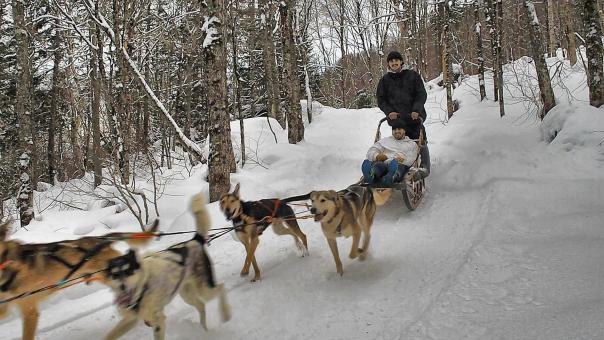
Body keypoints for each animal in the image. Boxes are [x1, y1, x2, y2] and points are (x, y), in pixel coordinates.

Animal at [105, 194, 230, 340]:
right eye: (115, 275)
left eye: (128, 271)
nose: (122, 288)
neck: (144, 287)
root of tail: (194, 240)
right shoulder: (131, 319)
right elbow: (108, 336)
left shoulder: (158, 320)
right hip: (187, 294)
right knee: (201, 305)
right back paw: (203, 331)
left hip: (204, 289)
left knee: (221, 287)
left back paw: (226, 314)